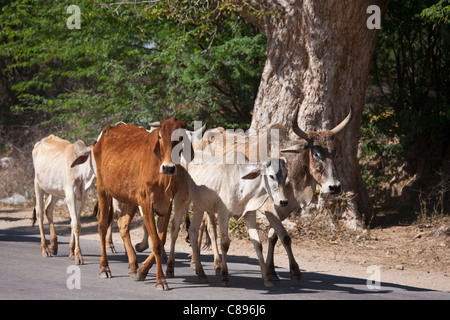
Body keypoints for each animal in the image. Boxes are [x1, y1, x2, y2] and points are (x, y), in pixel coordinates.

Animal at [32, 134, 95, 264]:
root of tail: (39, 143)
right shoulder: (70, 195)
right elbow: (76, 225)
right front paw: (78, 256)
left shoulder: (82, 197)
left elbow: (74, 223)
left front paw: (71, 252)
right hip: (38, 185)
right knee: (40, 214)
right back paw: (45, 249)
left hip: (55, 191)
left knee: (48, 209)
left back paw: (54, 246)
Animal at [72, 117, 193, 290]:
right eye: (160, 136)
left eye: (181, 137)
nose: (168, 168)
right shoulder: (146, 204)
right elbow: (156, 243)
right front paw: (161, 280)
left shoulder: (167, 206)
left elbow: (161, 240)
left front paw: (142, 271)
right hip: (103, 190)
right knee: (102, 225)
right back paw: (104, 268)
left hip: (130, 199)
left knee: (123, 224)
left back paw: (134, 265)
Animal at [167, 150, 290, 288]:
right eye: (271, 176)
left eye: (286, 175)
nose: (284, 201)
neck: (243, 183)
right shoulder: (223, 213)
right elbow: (224, 243)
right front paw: (224, 276)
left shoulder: (250, 214)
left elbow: (258, 245)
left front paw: (267, 278)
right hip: (181, 199)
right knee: (174, 229)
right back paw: (170, 269)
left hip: (199, 205)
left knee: (193, 232)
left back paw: (201, 273)